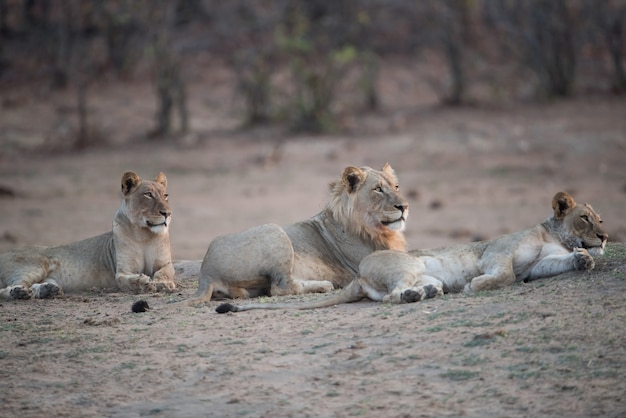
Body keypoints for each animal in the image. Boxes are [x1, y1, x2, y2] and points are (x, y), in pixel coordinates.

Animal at [0, 171, 176, 298]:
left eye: (165, 195)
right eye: (148, 194)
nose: (167, 213)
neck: (144, 234)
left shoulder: (166, 263)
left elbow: (164, 272)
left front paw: (164, 284)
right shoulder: (123, 271)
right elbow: (125, 280)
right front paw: (143, 283)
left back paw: (47, 290)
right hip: (34, 267)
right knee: (7, 288)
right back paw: (19, 292)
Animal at [188, 162, 408, 304]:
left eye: (396, 186)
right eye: (378, 189)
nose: (404, 206)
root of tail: (206, 272)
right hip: (275, 231)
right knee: (280, 287)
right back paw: (323, 285)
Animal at [217, 191, 608, 312]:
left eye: (601, 218)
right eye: (585, 218)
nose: (604, 237)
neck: (553, 233)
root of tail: (359, 274)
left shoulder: (540, 264)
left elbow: (553, 264)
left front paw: (583, 259)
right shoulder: (498, 252)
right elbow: (505, 274)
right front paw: (476, 285)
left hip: (420, 275)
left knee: (400, 293)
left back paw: (427, 293)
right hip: (407, 267)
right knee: (392, 297)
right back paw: (417, 296)